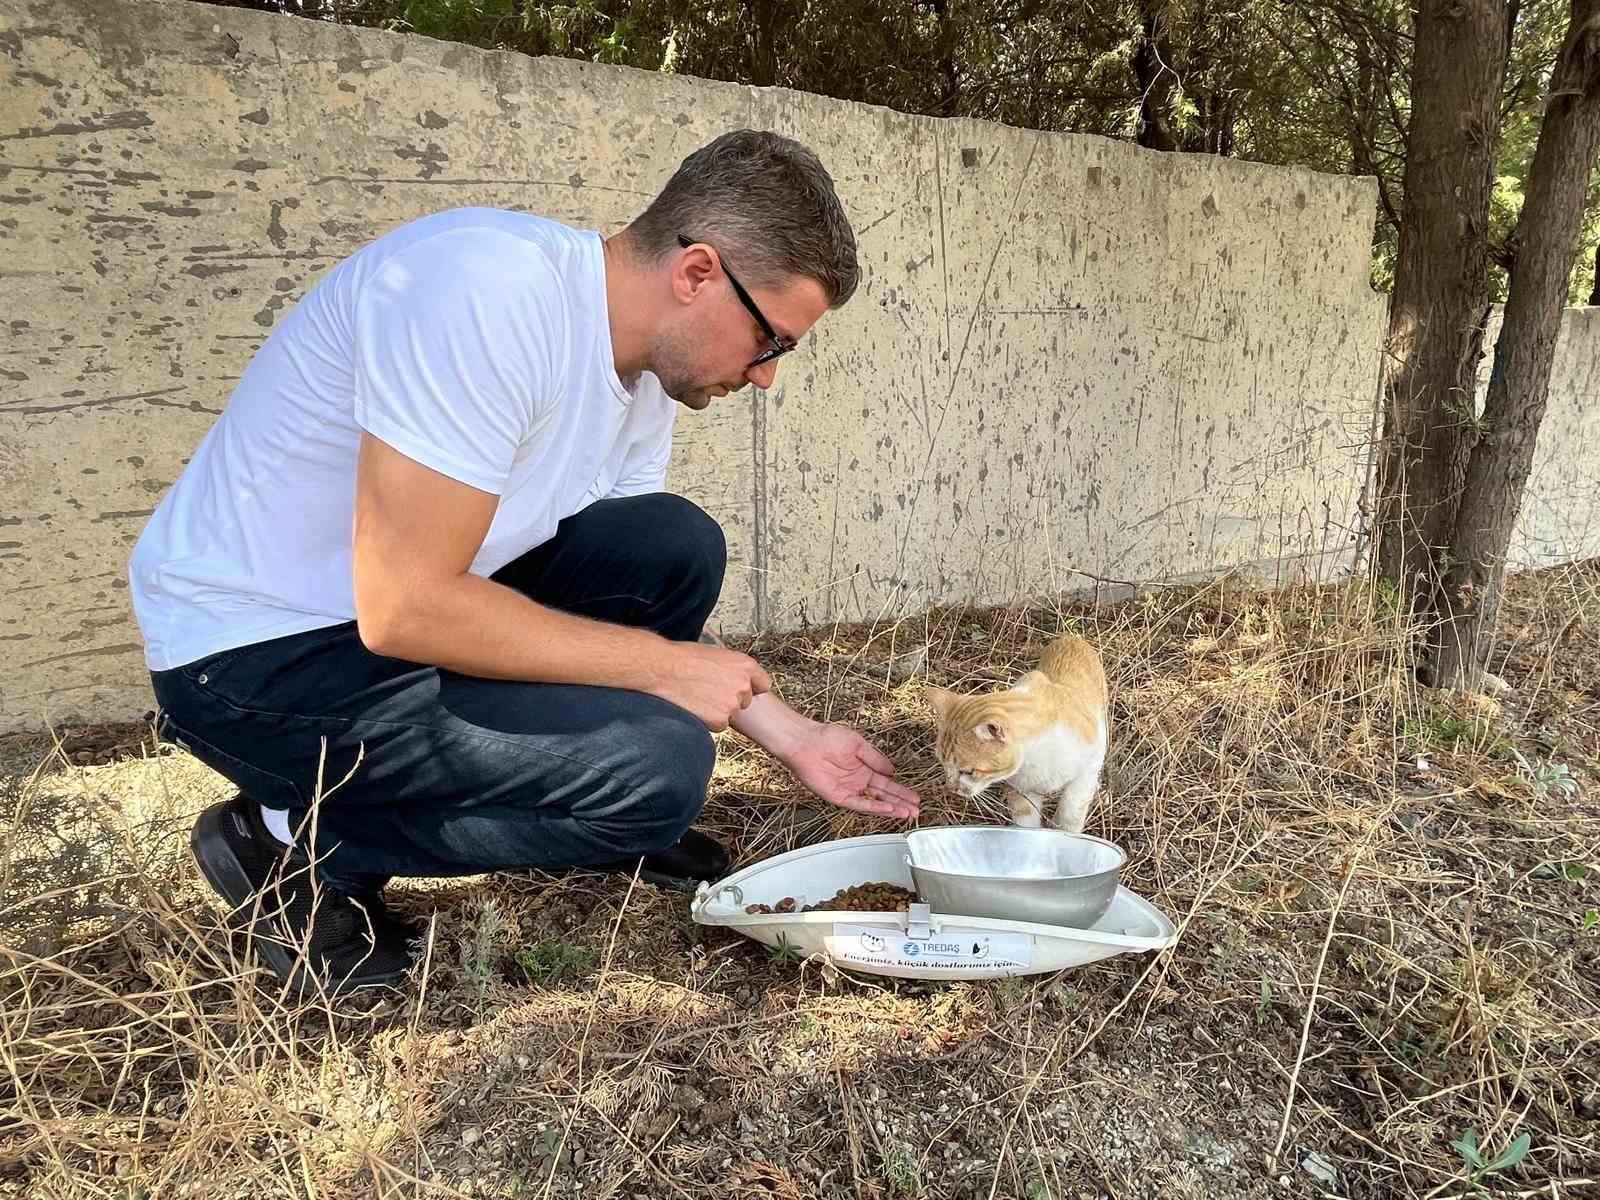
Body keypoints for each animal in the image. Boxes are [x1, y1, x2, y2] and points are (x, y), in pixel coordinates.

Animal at [928, 633, 1113, 832]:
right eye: (942, 763)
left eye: (968, 771)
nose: (951, 788)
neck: (1036, 759)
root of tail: (1071, 636)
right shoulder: (1020, 790)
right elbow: (1026, 822)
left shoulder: (1089, 764)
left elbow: (1071, 808)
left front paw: (1066, 830)